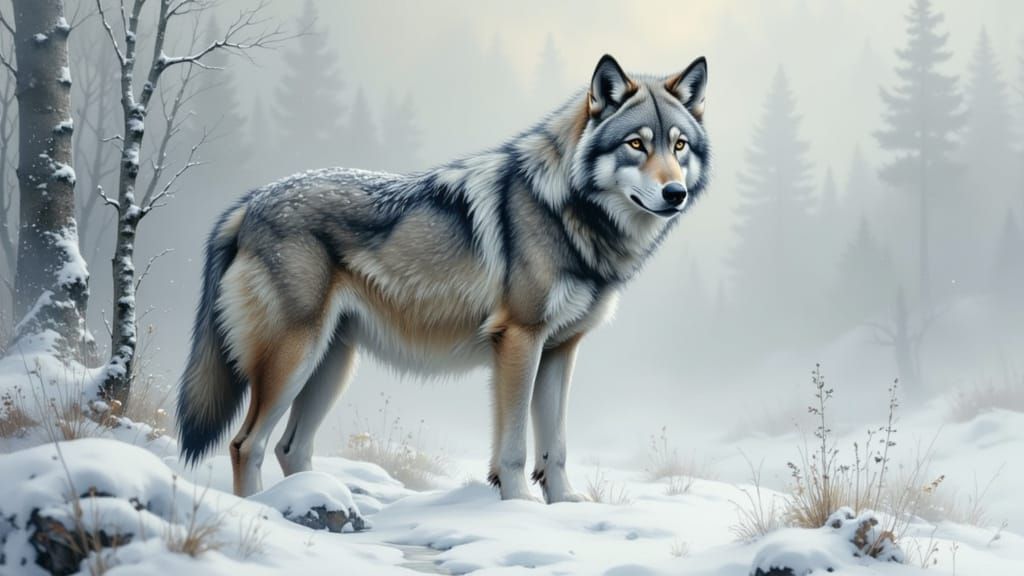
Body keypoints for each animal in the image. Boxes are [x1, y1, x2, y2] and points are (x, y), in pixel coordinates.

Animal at [177, 54, 710, 502]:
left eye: (678, 146)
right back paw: (260, 513)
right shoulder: (518, 339)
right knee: (245, 444)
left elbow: (554, 447)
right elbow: (514, 448)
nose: (675, 193)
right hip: (294, 358)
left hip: (333, 364)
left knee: (290, 448)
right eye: (636, 144)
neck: (567, 212)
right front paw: (520, 508)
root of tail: (249, 202)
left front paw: (563, 508)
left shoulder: (560, 349)